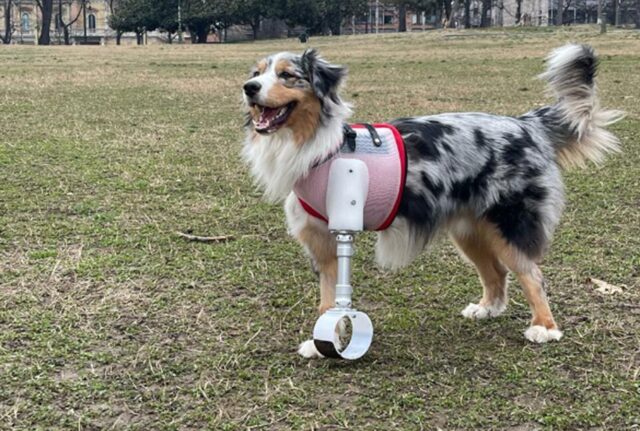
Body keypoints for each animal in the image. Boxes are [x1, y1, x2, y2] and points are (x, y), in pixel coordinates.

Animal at [240, 45, 620, 360]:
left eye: (287, 75)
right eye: (257, 72)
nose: (249, 87)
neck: (318, 145)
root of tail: (526, 124)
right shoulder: (323, 242)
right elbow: (328, 302)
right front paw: (324, 343)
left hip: (509, 224)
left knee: (532, 274)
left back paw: (544, 327)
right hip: (469, 230)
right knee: (496, 271)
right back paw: (487, 308)